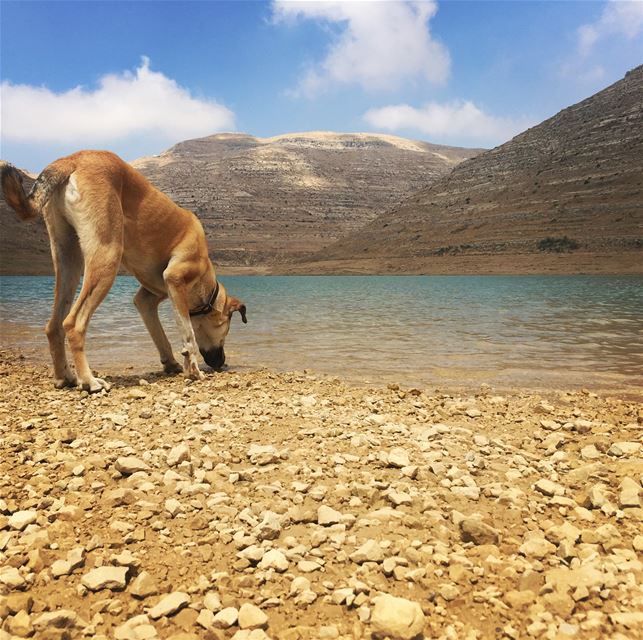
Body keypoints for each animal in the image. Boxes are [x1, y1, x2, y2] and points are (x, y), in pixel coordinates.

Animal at [0, 151, 247, 390]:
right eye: (226, 331)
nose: (221, 363)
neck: (206, 283)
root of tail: (71, 159)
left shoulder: (149, 297)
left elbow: (160, 335)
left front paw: (171, 363)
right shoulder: (175, 280)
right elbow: (188, 335)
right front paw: (193, 370)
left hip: (67, 258)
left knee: (53, 326)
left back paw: (65, 377)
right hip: (107, 257)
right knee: (73, 324)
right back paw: (89, 381)